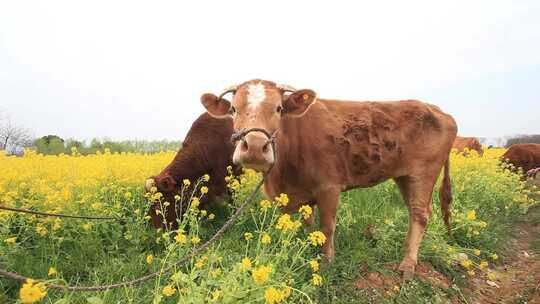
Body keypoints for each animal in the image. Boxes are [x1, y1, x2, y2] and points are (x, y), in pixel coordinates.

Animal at [200, 79, 458, 280]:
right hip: (404, 176)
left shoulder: (329, 187)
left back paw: (408, 265)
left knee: (419, 215)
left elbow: (326, 227)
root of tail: (437, 109)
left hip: (422, 173)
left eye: (279, 108)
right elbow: (304, 224)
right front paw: (303, 249)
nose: (254, 147)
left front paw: (326, 263)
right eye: (233, 109)